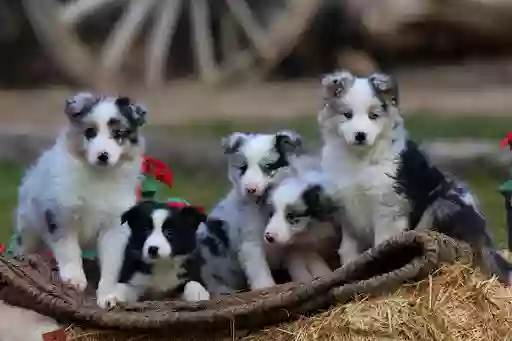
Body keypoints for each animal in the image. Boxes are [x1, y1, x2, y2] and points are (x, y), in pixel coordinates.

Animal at [12, 92, 147, 300]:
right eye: (90, 132)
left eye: (118, 135)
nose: (103, 156)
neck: (99, 176)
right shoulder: (61, 214)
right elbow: (69, 249)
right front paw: (74, 279)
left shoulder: (115, 225)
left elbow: (112, 262)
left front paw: (108, 295)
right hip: (28, 225)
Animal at [318, 71, 410, 262]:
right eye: (347, 114)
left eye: (373, 116)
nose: (360, 135)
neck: (359, 160)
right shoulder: (347, 209)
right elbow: (348, 248)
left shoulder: (387, 206)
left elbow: (382, 242)